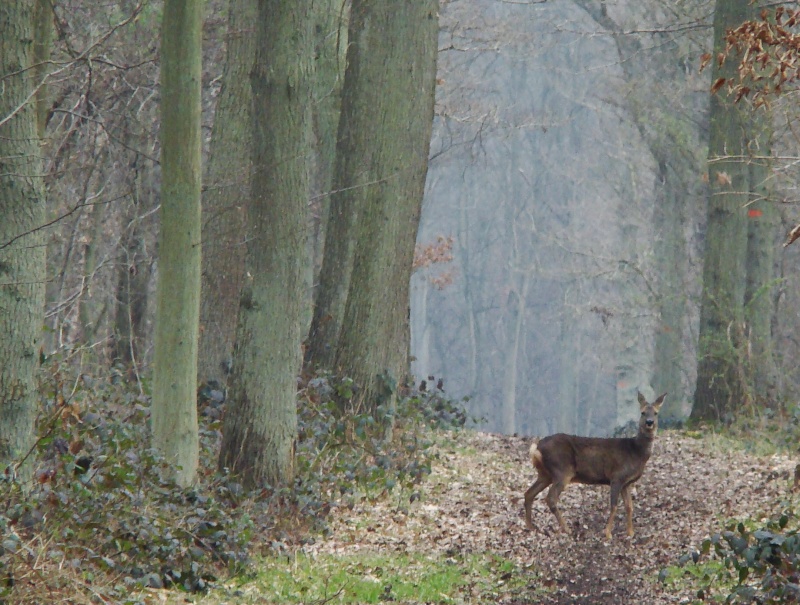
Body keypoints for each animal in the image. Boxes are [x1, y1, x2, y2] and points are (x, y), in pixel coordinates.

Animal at [520, 394, 664, 540]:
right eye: (643, 412)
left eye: (656, 413)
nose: (650, 422)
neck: (636, 451)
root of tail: (536, 447)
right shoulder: (616, 477)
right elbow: (614, 506)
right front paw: (608, 533)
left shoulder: (626, 483)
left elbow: (629, 506)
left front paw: (630, 533)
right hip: (562, 470)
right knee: (550, 498)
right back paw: (566, 529)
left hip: (545, 474)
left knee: (529, 493)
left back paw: (531, 526)